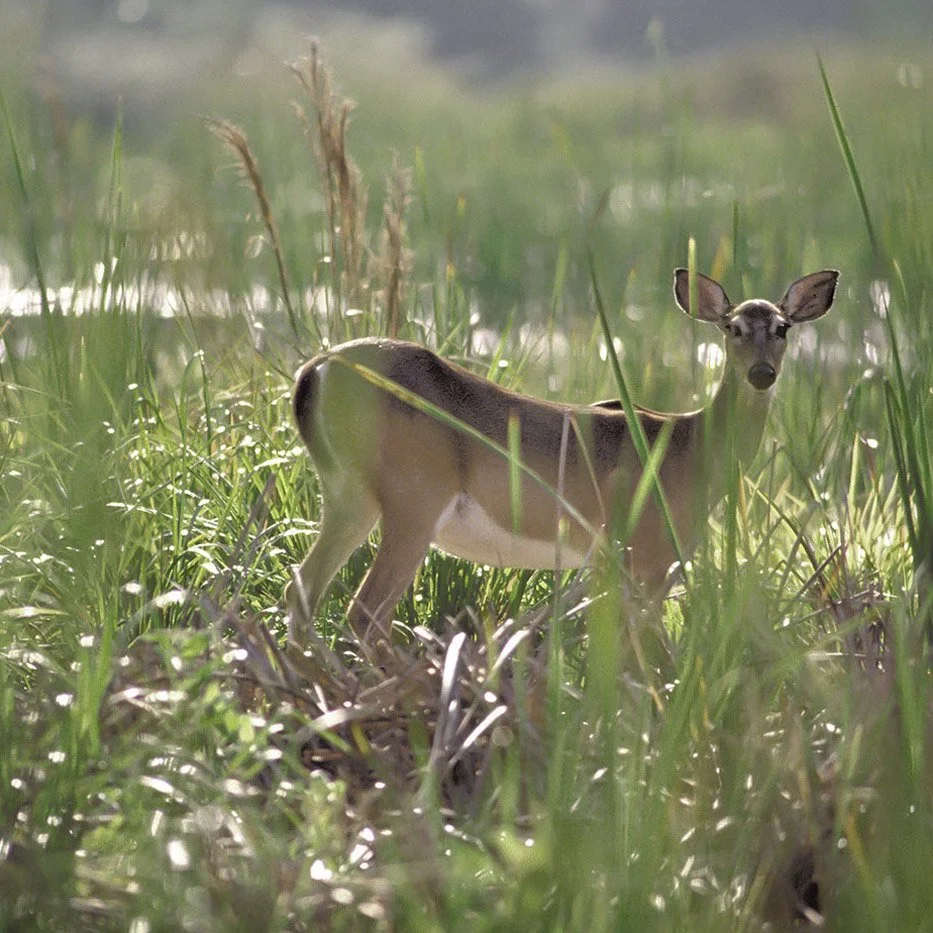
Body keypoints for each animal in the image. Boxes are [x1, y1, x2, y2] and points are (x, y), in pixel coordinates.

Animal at [285, 267, 838, 649]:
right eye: (732, 327)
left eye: (783, 327)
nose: (762, 374)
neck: (690, 445)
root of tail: (315, 370)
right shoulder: (647, 556)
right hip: (413, 498)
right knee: (364, 611)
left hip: (349, 496)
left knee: (304, 589)